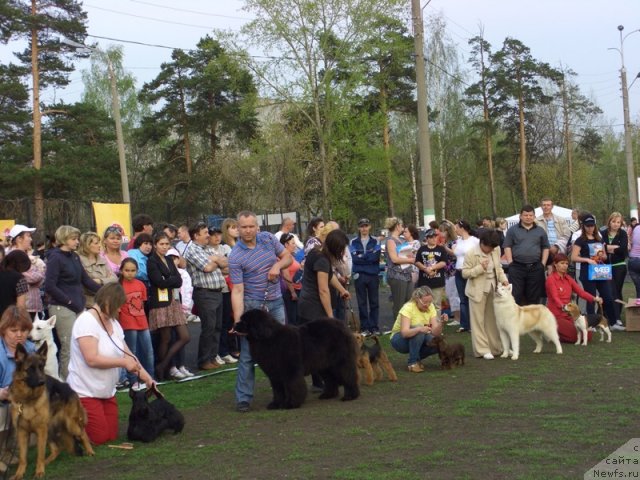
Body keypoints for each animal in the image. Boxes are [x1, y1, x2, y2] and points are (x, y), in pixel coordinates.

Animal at [9, 344, 94, 478]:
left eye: (41, 367)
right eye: (30, 369)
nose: (42, 382)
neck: (28, 400)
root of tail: (69, 387)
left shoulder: (40, 430)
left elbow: (40, 454)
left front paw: (39, 471)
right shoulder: (22, 433)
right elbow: (23, 457)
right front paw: (19, 474)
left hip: (70, 425)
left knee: (83, 433)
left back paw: (90, 451)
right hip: (49, 429)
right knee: (56, 449)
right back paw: (47, 461)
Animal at [232, 308, 360, 408]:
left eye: (244, 321)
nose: (235, 324)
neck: (269, 338)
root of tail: (342, 324)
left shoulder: (290, 370)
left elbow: (292, 386)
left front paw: (291, 404)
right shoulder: (274, 374)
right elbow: (277, 390)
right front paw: (276, 404)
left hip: (340, 362)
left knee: (348, 376)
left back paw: (350, 396)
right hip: (325, 365)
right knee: (330, 379)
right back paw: (328, 395)